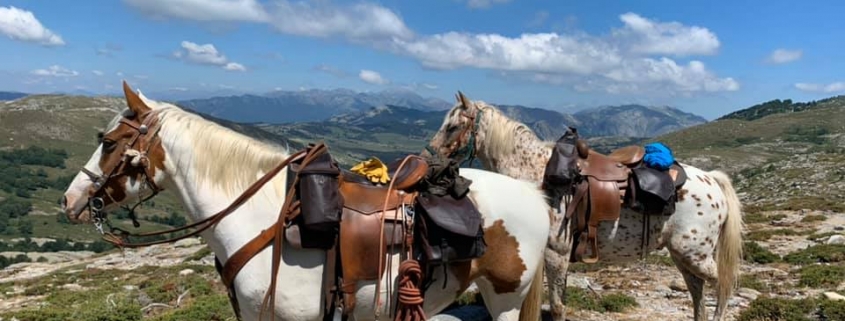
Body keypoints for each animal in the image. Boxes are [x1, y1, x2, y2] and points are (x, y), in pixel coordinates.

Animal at [426, 91, 740, 320]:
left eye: (453, 127)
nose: (428, 159)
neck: (535, 174)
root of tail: (712, 179)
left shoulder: (556, 254)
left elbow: (557, 306)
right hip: (682, 256)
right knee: (697, 291)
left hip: (694, 255)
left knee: (722, 285)